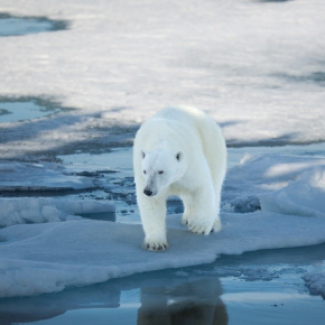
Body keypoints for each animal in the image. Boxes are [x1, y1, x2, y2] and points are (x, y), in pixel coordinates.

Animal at [133, 106, 227, 251]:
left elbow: (200, 187)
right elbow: (152, 204)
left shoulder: (190, 163)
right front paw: (156, 243)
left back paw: (212, 224)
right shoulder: (141, 169)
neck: (162, 138)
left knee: (215, 183)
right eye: (145, 171)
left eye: (161, 171)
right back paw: (187, 218)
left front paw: (199, 226)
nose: (148, 190)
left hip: (211, 144)